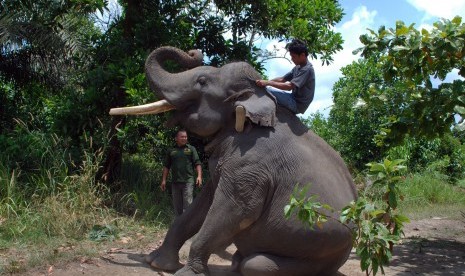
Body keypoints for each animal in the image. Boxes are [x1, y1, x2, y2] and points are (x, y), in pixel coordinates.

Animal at [110, 46, 358, 274]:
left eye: (202, 81)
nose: (192, 52)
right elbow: (202, 204)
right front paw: (157, 263)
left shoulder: (251, 166)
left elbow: (235, 209)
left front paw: (186, 273)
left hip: (320, 249)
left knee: (255, 265)